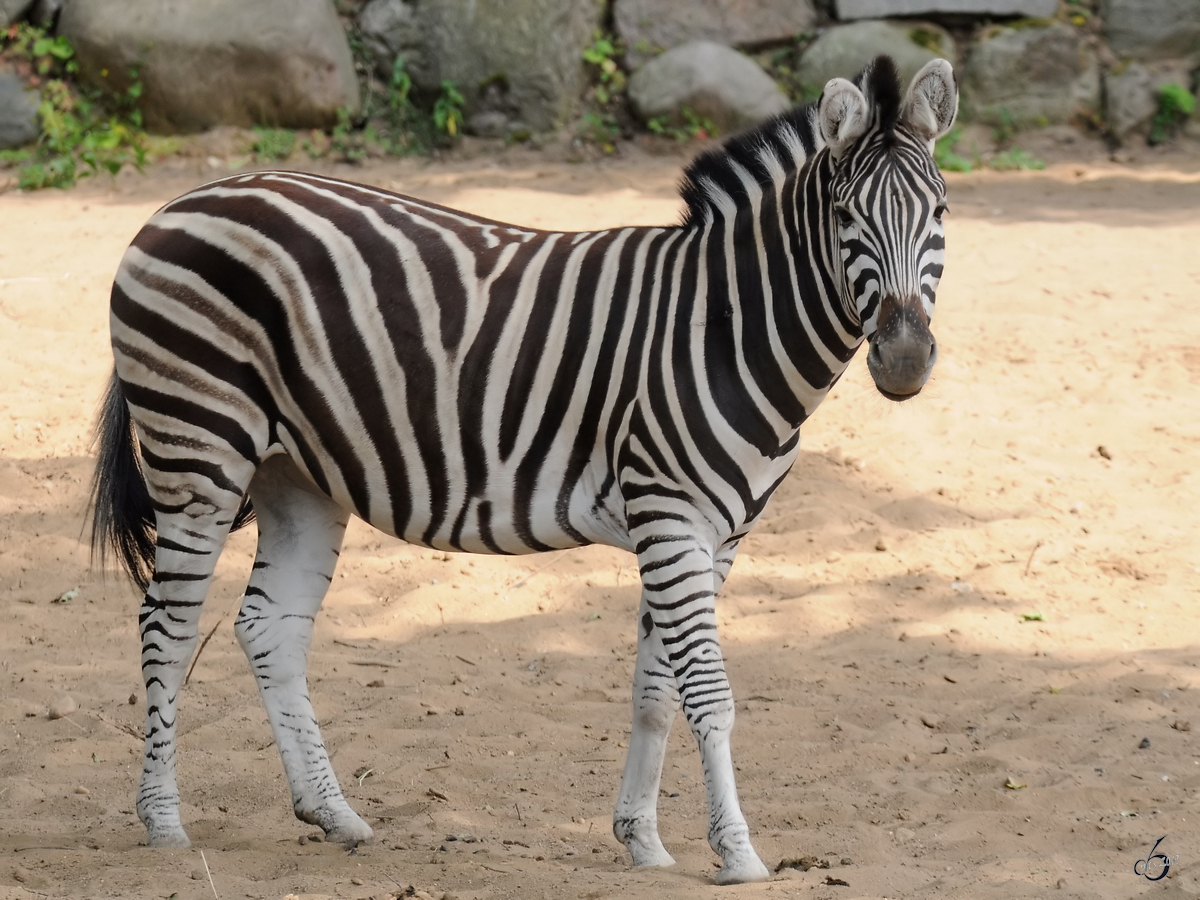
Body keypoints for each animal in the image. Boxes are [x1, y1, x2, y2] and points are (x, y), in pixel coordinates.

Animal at [87, 56, 955, 888]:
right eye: (845, 218)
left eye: (941, 215)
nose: (905, 361)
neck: (724, 329)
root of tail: (184, 199)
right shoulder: (671, 515)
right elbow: (708, 691)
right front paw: (737, 854)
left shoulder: (714, 534)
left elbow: (657, 689)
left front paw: (643, 840)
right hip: (200, 451)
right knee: (167, 626)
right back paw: (163, 822)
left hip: (296, 474)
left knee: (269, 626)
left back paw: (333, 814)